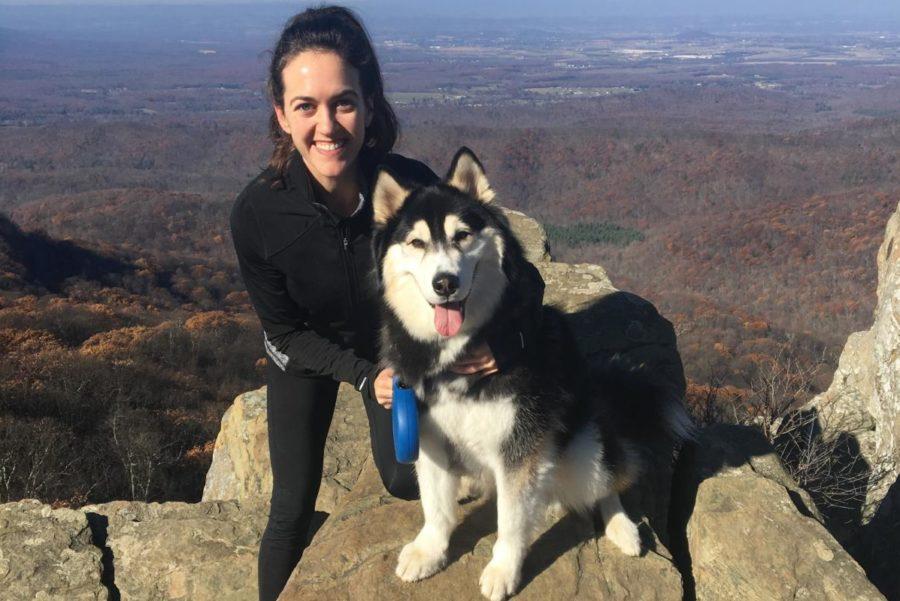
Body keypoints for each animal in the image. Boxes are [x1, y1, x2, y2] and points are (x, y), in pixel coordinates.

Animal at [370, 146, 692, 600]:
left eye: (462, 236)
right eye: (416, 243)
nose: (444, 283)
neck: (461, 348)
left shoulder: (519, 446)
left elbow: (510, 520)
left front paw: (504, 570)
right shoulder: (426, 431)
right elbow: (434, 504)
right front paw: (429, 551)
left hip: (585, 445)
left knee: (609, 481)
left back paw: (622, 528)